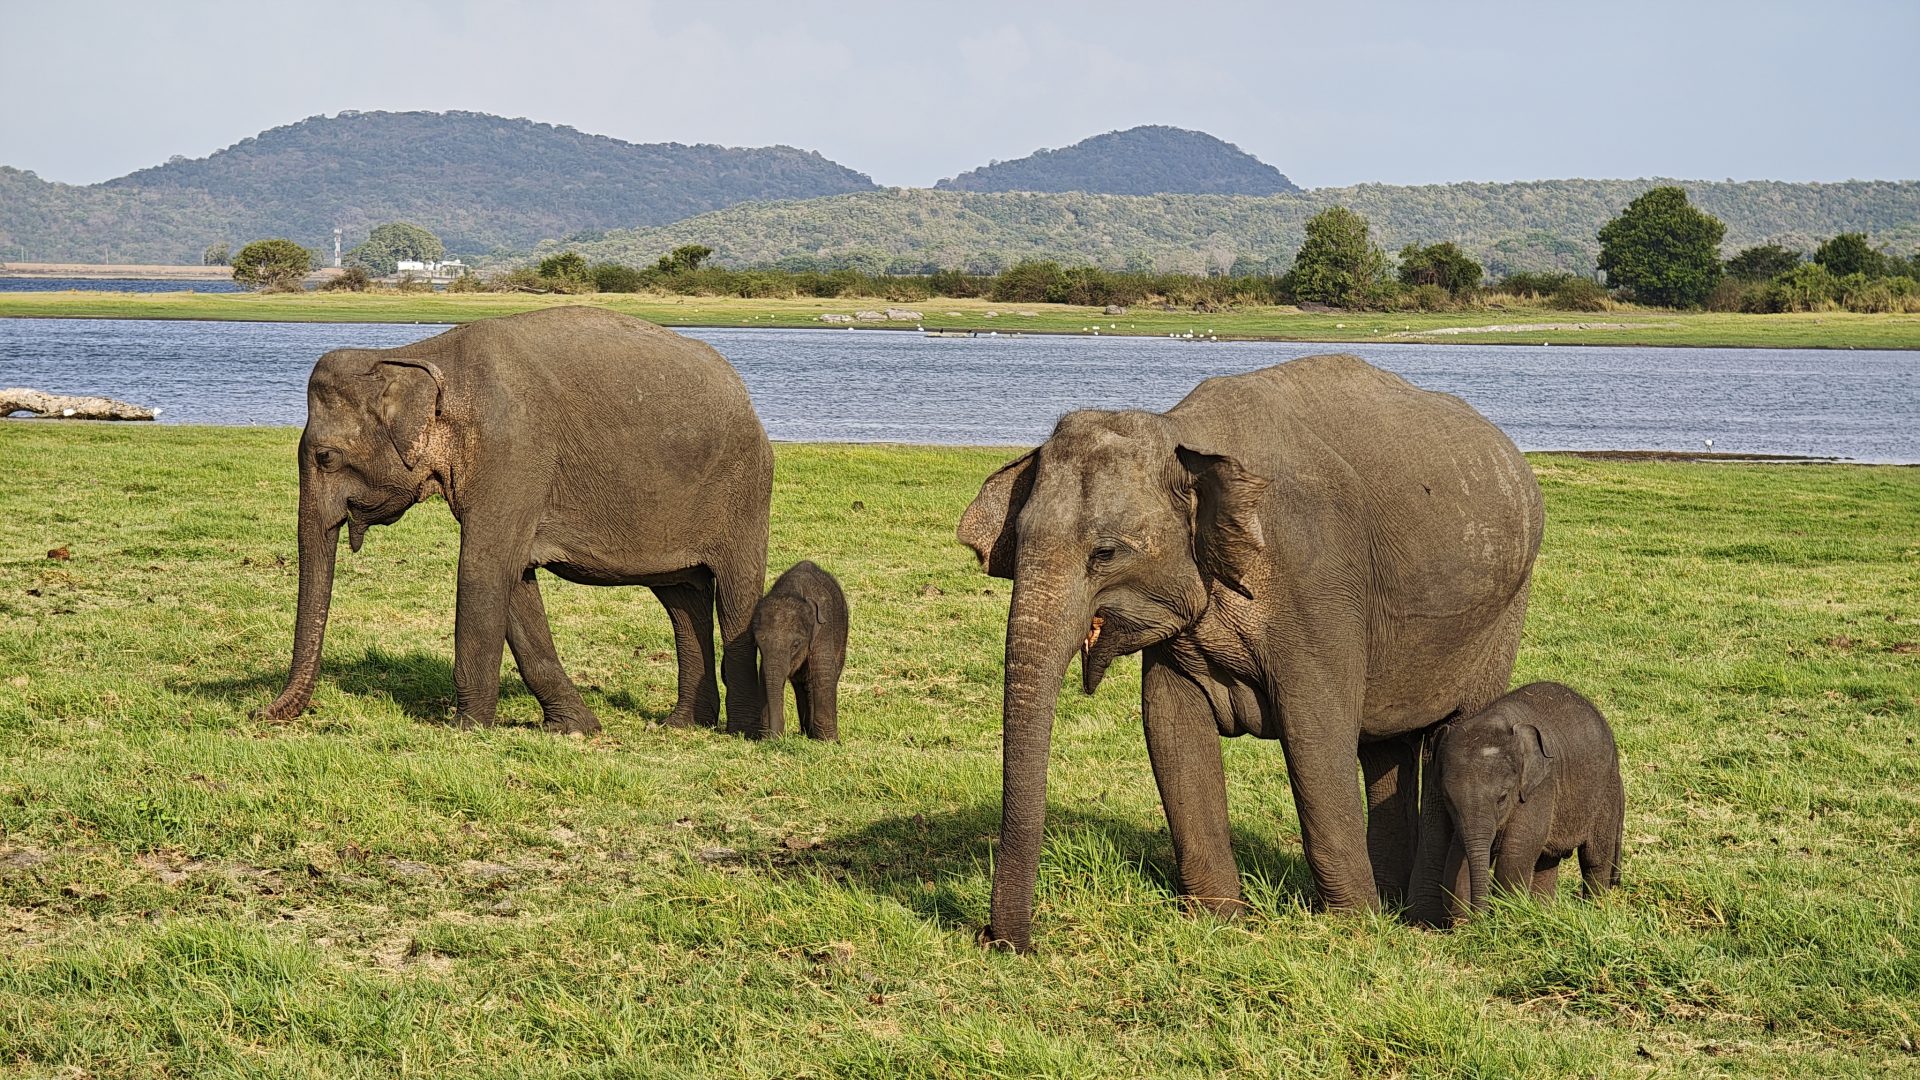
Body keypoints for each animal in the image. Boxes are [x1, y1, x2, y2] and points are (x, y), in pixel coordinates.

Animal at [256, 306, 773, 735]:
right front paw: (576, 729)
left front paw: (464, 731)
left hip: (745, 492)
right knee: (682, 600)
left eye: (325, 457)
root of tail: (745, 395)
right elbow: (516, 581)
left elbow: (483, 569)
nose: (258, 713)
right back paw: (681, 726)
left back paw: (744, 733)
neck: (411, 355)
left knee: (735, 596)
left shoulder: (513, 451)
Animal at [751, 560, 848, 740]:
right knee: (802, 684)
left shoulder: (824, 628)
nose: (776, 738)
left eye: (796, 644)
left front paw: (830, 742)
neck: (793, 590)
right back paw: (807, 732)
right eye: (758, 643)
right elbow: (764, 676)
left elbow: (824, 673)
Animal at [957, 353, 1543, 952]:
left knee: (1451, 735)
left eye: (1105, 553)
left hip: (1501, 616)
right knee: (1384, 748)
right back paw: (1397, 901)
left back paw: (1430, 919)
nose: (1005, 943)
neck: (1182, 432)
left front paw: (1351, 929)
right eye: (1018, 542)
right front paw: (1217, 922)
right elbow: (1170, 726)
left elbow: (1316, 734)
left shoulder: (1317, 584)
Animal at [1435, 681, 1623, 919]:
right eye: (1447, 799)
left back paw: (1593, 911)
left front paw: (1505, 919)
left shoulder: (1541, 786)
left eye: (1503, 797)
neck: (1495, 718)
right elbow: (1456, 856)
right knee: (1547, 862)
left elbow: (1515, 853)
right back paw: (1543, 913)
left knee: (1595, 859)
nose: (1481, 918)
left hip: (1606, 793)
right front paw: (1465, 925)